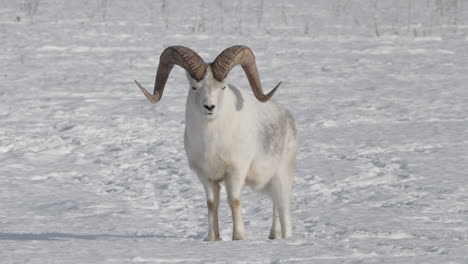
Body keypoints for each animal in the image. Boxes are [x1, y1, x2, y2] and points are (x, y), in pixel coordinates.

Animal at [134, 46, 296, 241]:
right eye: (194, 87)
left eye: (223, 87)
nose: (209, 107)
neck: (211, 142)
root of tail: (288, 117)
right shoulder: (207, 177)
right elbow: (212, 203)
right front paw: (212, 238)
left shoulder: (235, 172)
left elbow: (234, 201)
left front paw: (238, 237)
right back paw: (273, 236)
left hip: (281, 180)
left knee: (284, 210)